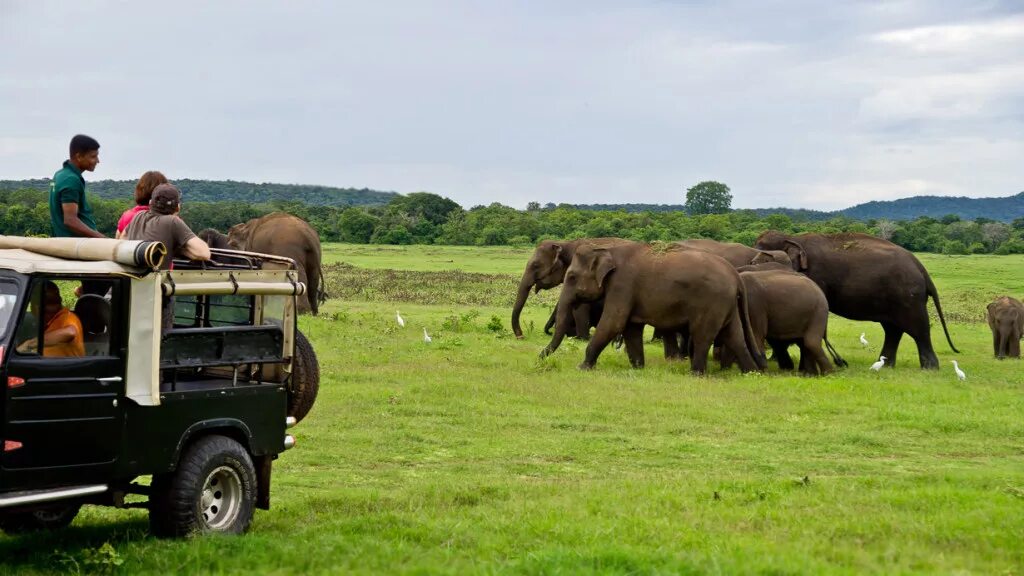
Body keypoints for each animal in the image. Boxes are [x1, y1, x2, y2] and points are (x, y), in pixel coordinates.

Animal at [540, 240, 765, 373]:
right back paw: (751, 373)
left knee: (703, 335)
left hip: (712, 303)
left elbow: (614, 322)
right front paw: (638, 368)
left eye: (571, 277)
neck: (607, 249)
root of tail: (735, 276)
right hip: (727, 305)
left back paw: (696, 373)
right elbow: (630, 327)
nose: (539, 356)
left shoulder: (623, 284)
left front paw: (582, 367)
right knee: (734, 336)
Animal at [753, 229, 958, 366]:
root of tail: (921, 268)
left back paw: (930, 368)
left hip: (908, 295)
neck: (793, 237)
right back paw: (885, 366)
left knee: (918, 328)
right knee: (893, 329)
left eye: (762, 255)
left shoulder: (815, 276)